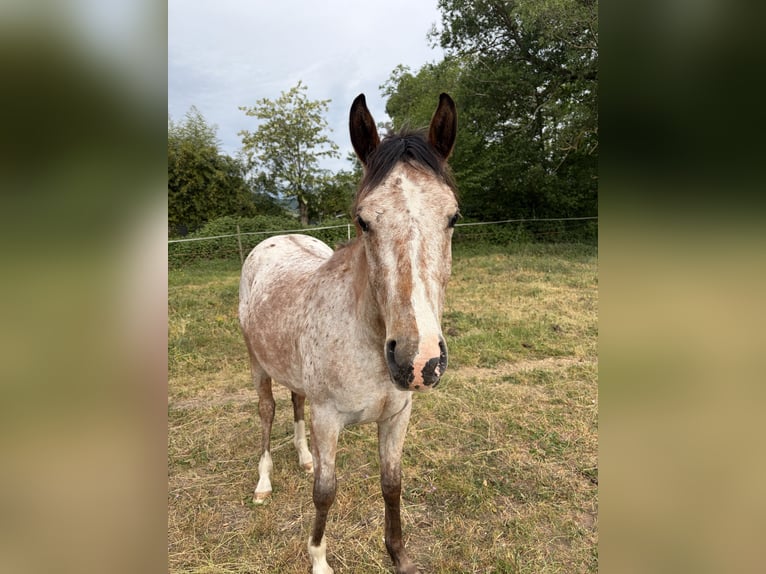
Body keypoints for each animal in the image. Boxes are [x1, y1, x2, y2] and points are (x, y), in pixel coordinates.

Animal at [238, 92, 458, 574]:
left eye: (453, 217)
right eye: (363, 220)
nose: (418, 361)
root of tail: (273, 241)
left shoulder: (397, 416)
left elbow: (392, 483)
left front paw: (399, 555)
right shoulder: (328, 419)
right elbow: (325, 492)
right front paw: (319, 560)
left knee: (295, 403)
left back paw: (303, 458)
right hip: (258, 366)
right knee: (267, 412)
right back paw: (263, 484)